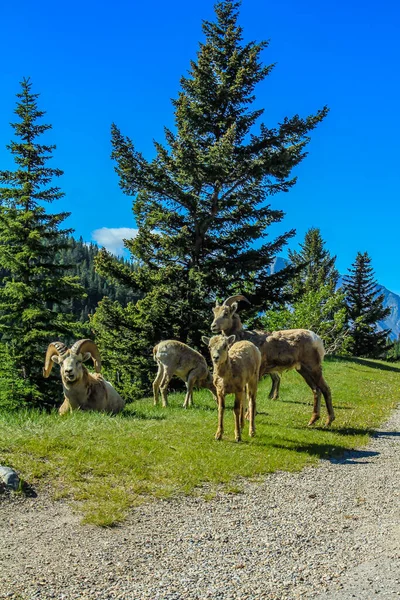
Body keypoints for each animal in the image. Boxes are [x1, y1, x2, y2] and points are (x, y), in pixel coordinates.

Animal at [211, 296, 336, 426]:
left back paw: (328, 421)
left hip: (314, 368)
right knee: (316, 390)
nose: (213, 326)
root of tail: (317, 339)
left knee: (325, 389)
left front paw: (248, 416)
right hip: (303, 370)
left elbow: (251, 393)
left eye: (226, 313)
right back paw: (312, 420)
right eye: (214, 312)